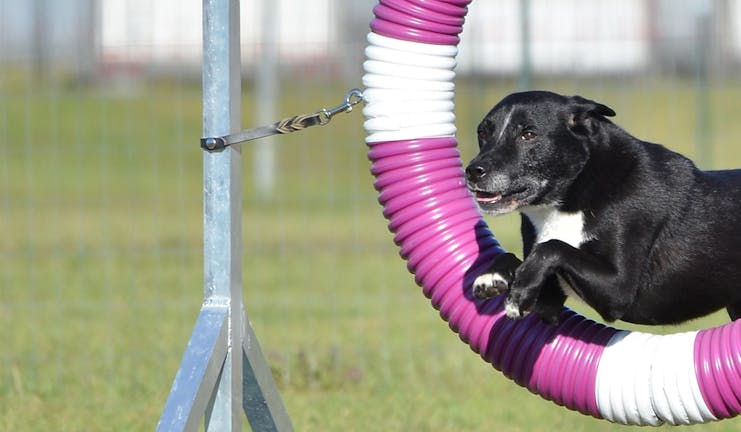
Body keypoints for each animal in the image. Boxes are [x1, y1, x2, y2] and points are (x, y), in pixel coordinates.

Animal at [466, 91, 740, 326]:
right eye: (483, 133)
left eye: (529, 134)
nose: (473, 171)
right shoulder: (549, 304)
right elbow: (522, 257)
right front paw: (493, 277)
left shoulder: (618, 290)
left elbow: (550, 248)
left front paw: (518, 294)